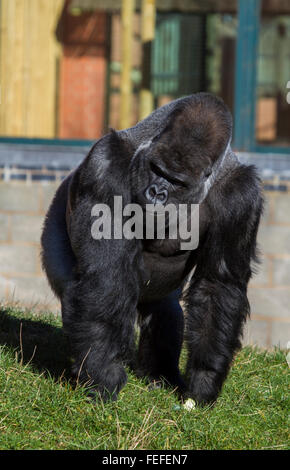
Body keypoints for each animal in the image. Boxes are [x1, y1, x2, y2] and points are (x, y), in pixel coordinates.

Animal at [40, 92, 262, 404]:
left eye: (177, 180)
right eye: (157, 169)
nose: (157, 193)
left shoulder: (242, 197)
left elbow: (218, 284)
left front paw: (204, 380)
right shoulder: (105, 165)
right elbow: (105, 277)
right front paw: (103, 373)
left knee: (166, 311)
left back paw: (159, 374)